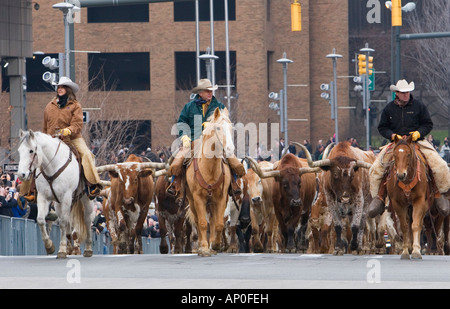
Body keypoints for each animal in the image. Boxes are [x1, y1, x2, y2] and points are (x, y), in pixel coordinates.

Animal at [17, 128, 94, 258]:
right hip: (58, 204)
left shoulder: (66, 197)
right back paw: (70, 247)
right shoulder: (43, 197)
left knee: (87, 220)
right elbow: (41, 220)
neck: (52, 167)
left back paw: (88, 249)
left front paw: (61, 250)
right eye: (19, 151)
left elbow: (62, 222)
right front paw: (49, 246)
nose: (21, 174)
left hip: (85, 199)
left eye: (31, 151)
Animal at [185, 106, 234, 255]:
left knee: (213, 220)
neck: (210, 169)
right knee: (198, 220)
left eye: (231, 127)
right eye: (218, 128)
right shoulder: (198, 198)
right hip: (192, 201)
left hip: (213, 202)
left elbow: (219, 223)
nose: (230, 149)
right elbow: (201, 223)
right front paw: (204, 247)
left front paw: (216, 244)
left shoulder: (221, 198)